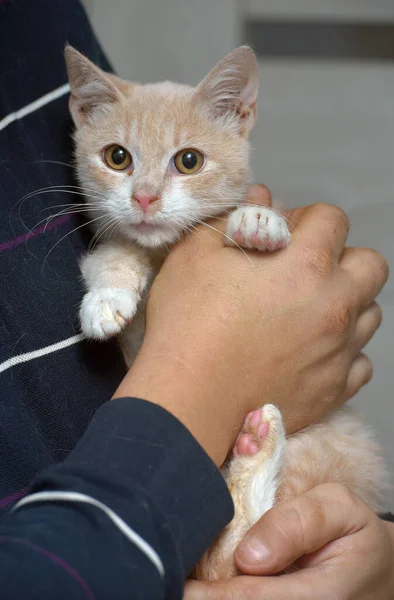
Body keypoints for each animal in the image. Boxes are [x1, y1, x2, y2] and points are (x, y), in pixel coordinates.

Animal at [65, 47, 388, 580]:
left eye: (189, 161)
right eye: (118, 157)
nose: (145, 197)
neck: (163, 252)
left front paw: (256, 219)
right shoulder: (114, 248)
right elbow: (112, 253)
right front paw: (107, 297)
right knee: (225, 557)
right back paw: (257, 448)